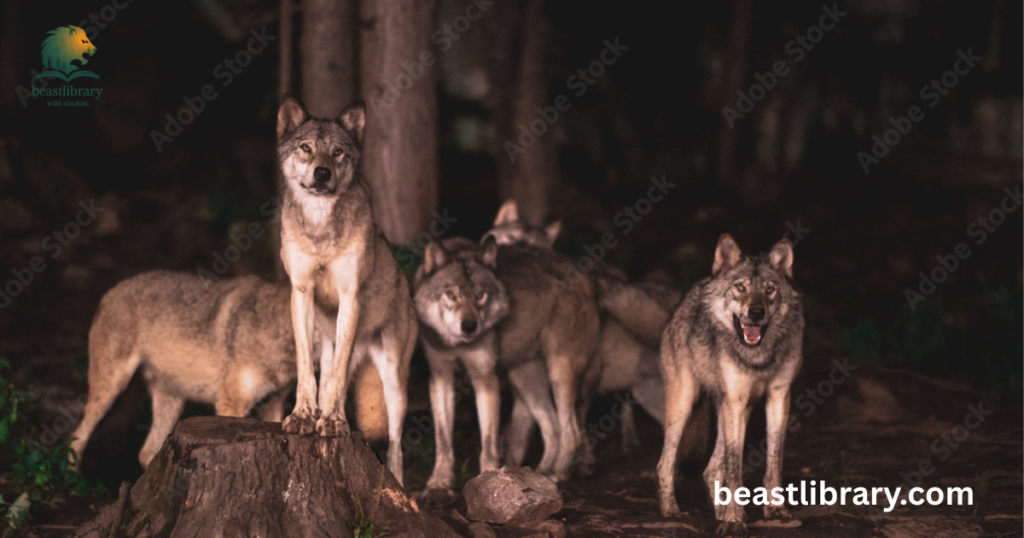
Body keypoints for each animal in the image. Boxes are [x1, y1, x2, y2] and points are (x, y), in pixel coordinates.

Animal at [69, 271, 388, 469]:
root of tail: (111, 291)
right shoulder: (230, 404)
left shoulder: (272, 405)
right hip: (111, 389)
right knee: (78, 437)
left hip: (171, 402)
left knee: (146, 452)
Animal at [276, 95, 417, 484]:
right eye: (306, 148)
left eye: (337, 152)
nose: (322, 173)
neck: (320, 223)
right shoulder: (301, 292)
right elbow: (305, 371)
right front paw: (303, 417)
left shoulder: (349, 296)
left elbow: (338, 380)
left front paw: (334, 425)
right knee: (326, 379)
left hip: (394, 385)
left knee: (396, 446)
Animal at [412, 236, 511, 497]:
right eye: (451, 295)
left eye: (480, 295)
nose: (469, 326)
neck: (459, 346)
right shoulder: (441, 377)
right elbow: (443, 440)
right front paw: (439, 483)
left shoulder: (485, 377)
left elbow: (488, 441)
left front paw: (490, 476)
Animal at [657, 234, 803, 536]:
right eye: (740, 287)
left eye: (770, 290)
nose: (756, 312)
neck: (758, 356)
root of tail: (695, 290)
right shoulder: (735, 401)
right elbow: (735, 466)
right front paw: (734, 520)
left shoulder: (778, 396)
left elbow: (774, 459)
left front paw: (775, 510)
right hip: (685, 403)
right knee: (665, 463)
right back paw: (671, 510)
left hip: (737, 409)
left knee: (711, 469)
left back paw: (719, 510)